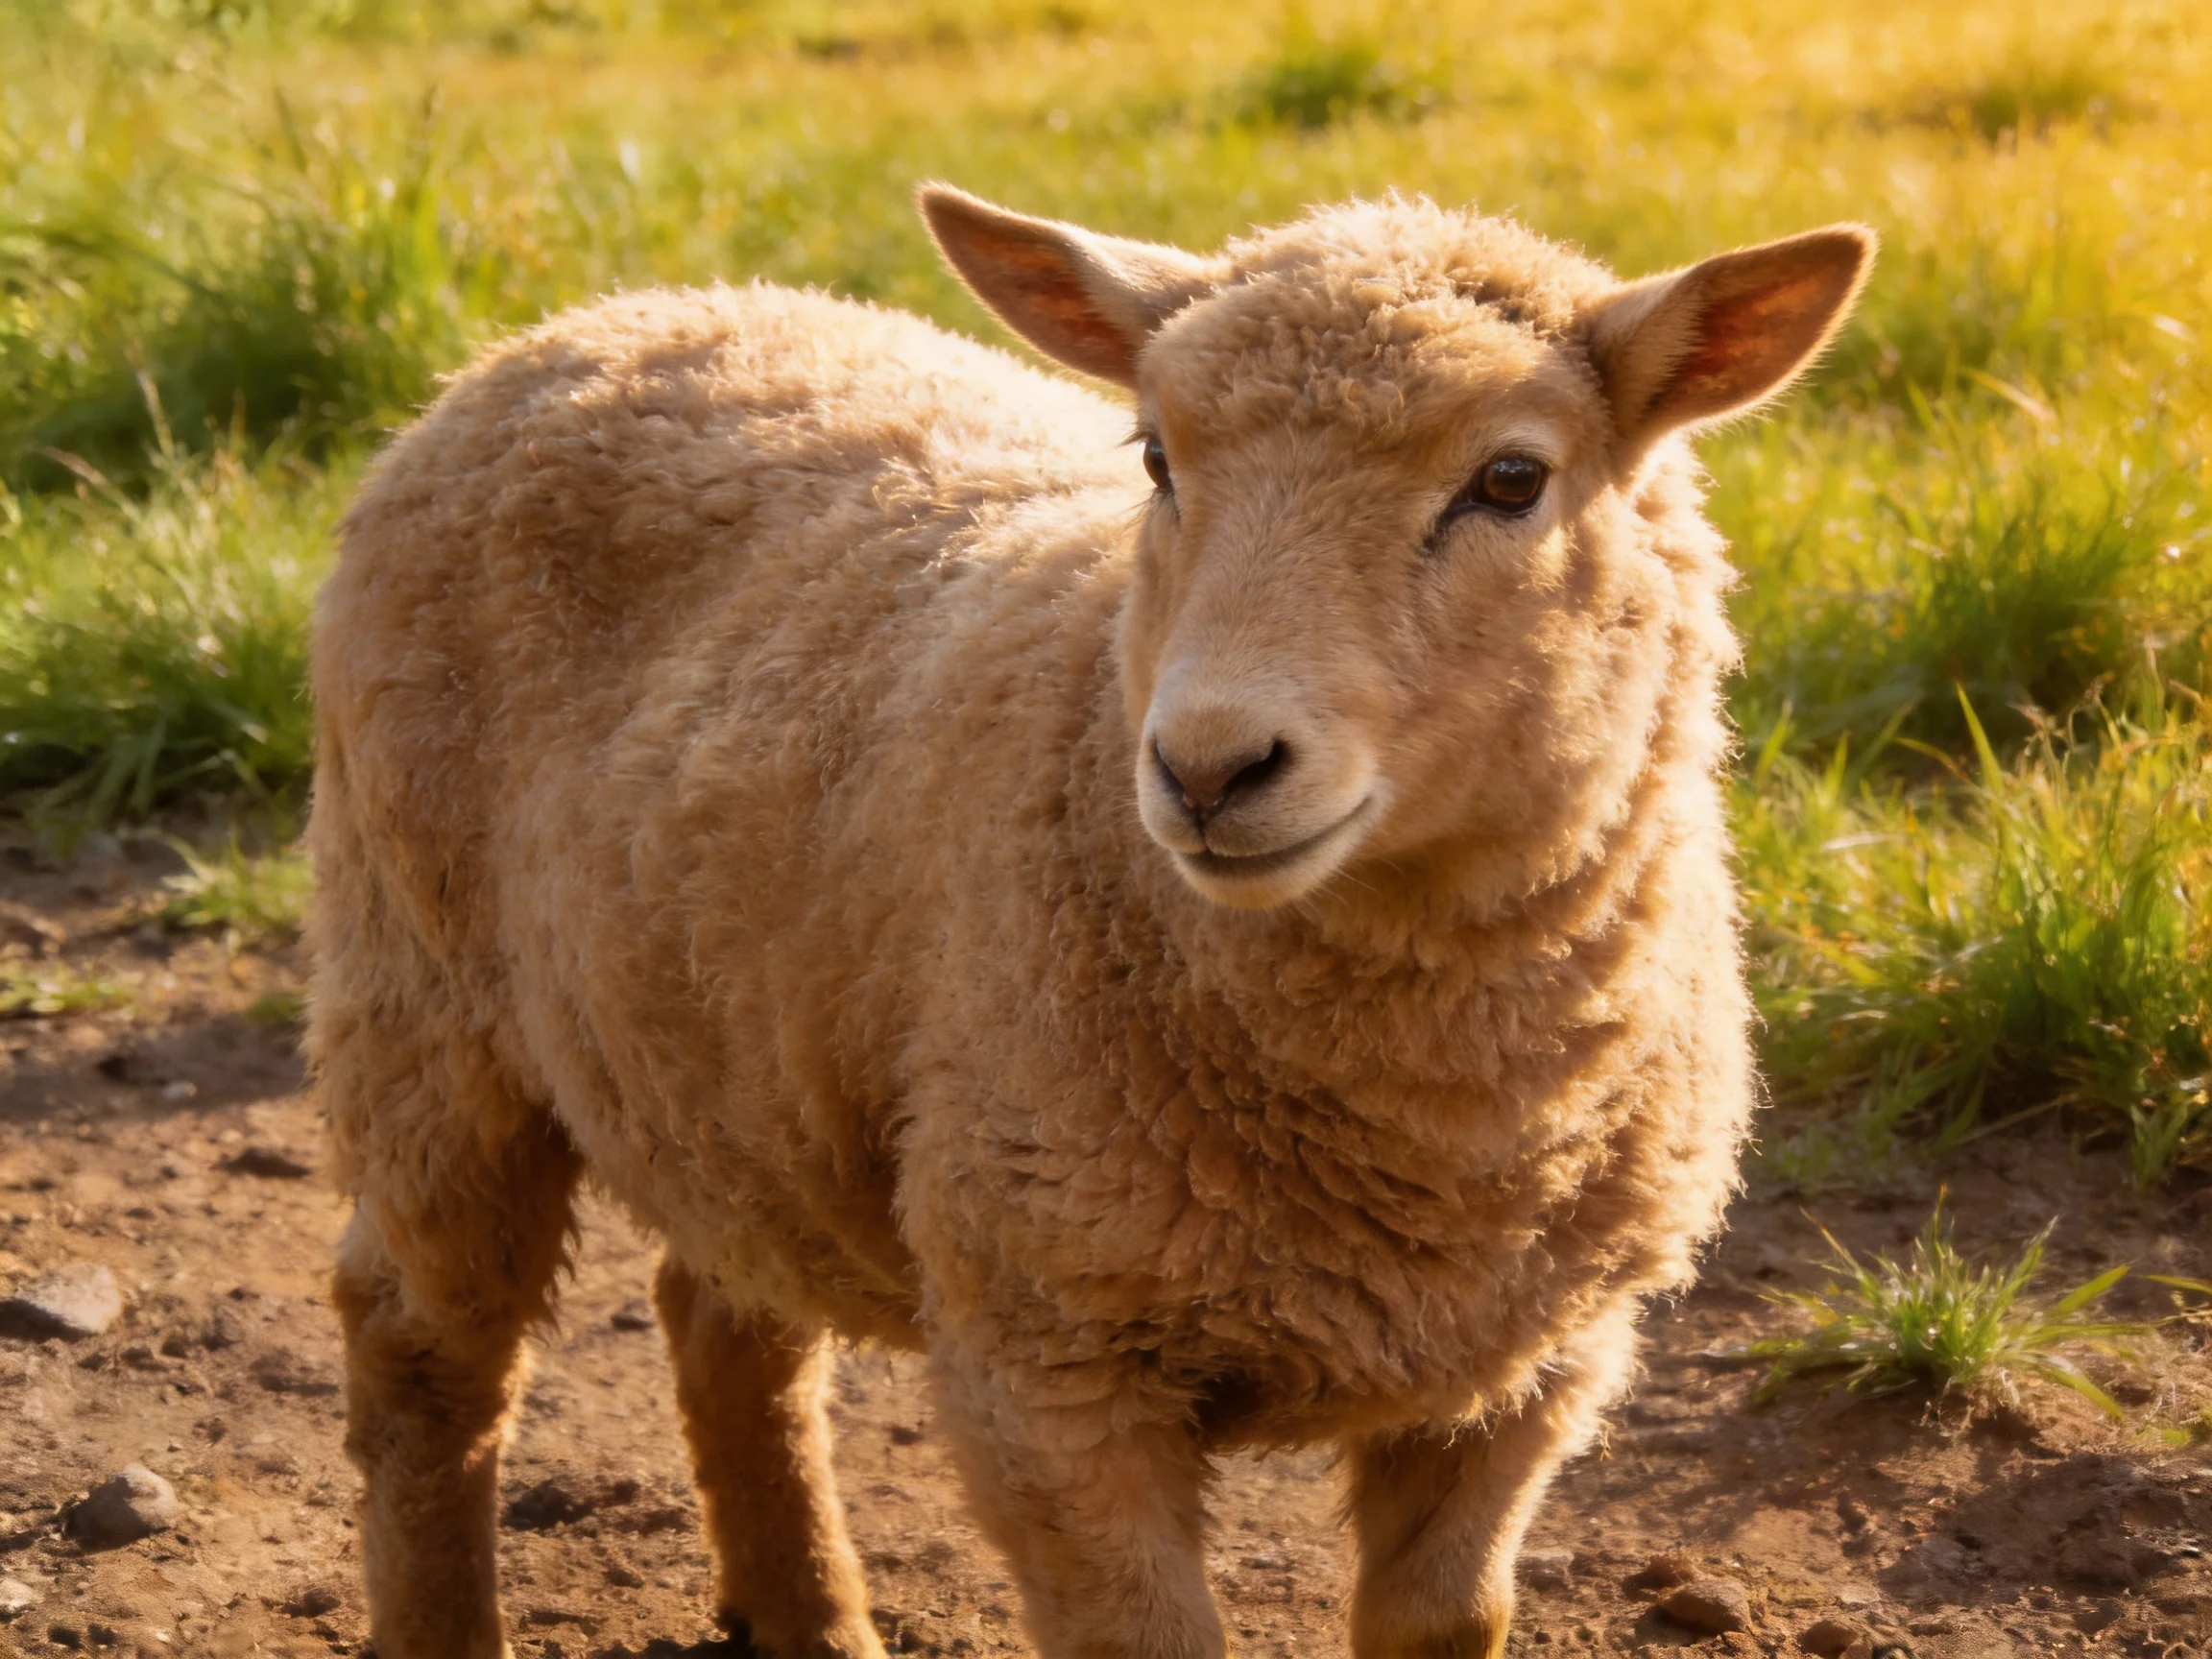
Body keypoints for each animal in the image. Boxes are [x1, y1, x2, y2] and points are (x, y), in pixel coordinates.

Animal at [309, 185, 1872, 1659]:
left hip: (734, 1053)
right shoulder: (1046, 1359)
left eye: (1511, 478)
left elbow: (1446, 1621)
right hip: (420, 991)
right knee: (424, 1349)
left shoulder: (1531, 1373)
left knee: (725, 1325)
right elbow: (1145, 1636)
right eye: (1156, 458)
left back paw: (812, 1618)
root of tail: (599, 320)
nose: (1208, 769)